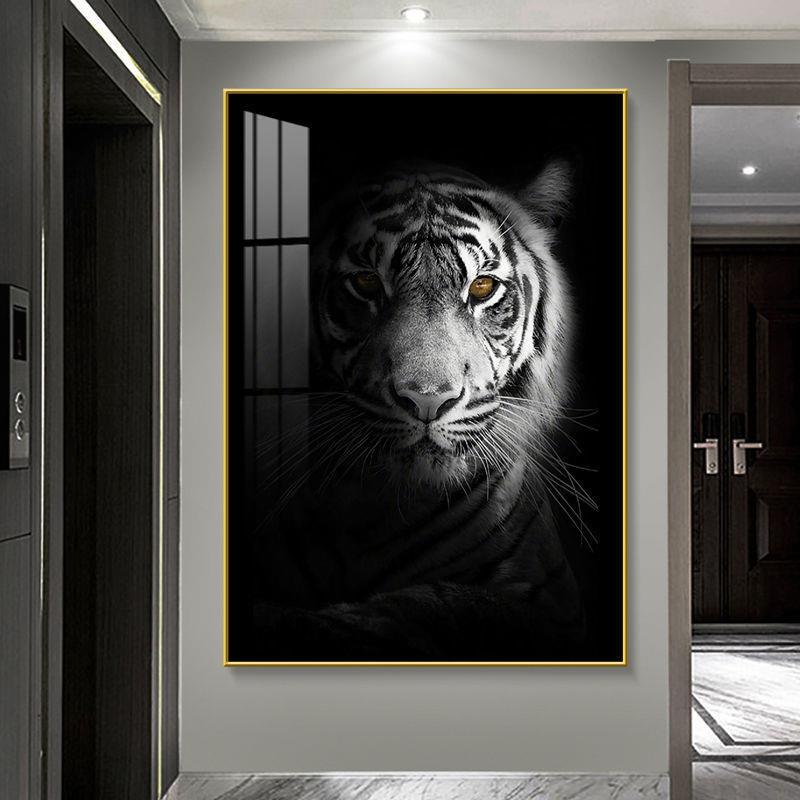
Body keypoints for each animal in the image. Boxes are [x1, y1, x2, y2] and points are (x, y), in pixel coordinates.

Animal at [249, 159, 589, 661]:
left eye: (482, 287)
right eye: (366, 282)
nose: (428, 399)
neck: (375, 508)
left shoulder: (555, 607)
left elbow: (443, 604)